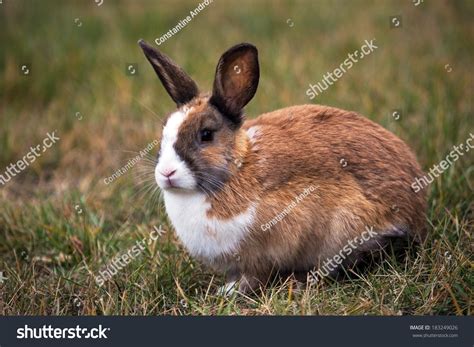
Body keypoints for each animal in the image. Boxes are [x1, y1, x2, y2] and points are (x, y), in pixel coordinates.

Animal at [138, 39, 430, 294]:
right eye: (164, 131)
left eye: (206, 135)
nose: (166, 173)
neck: (236, 171)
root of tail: (418, 210)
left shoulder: (269, 249)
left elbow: (255, 276)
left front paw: (229, 292)